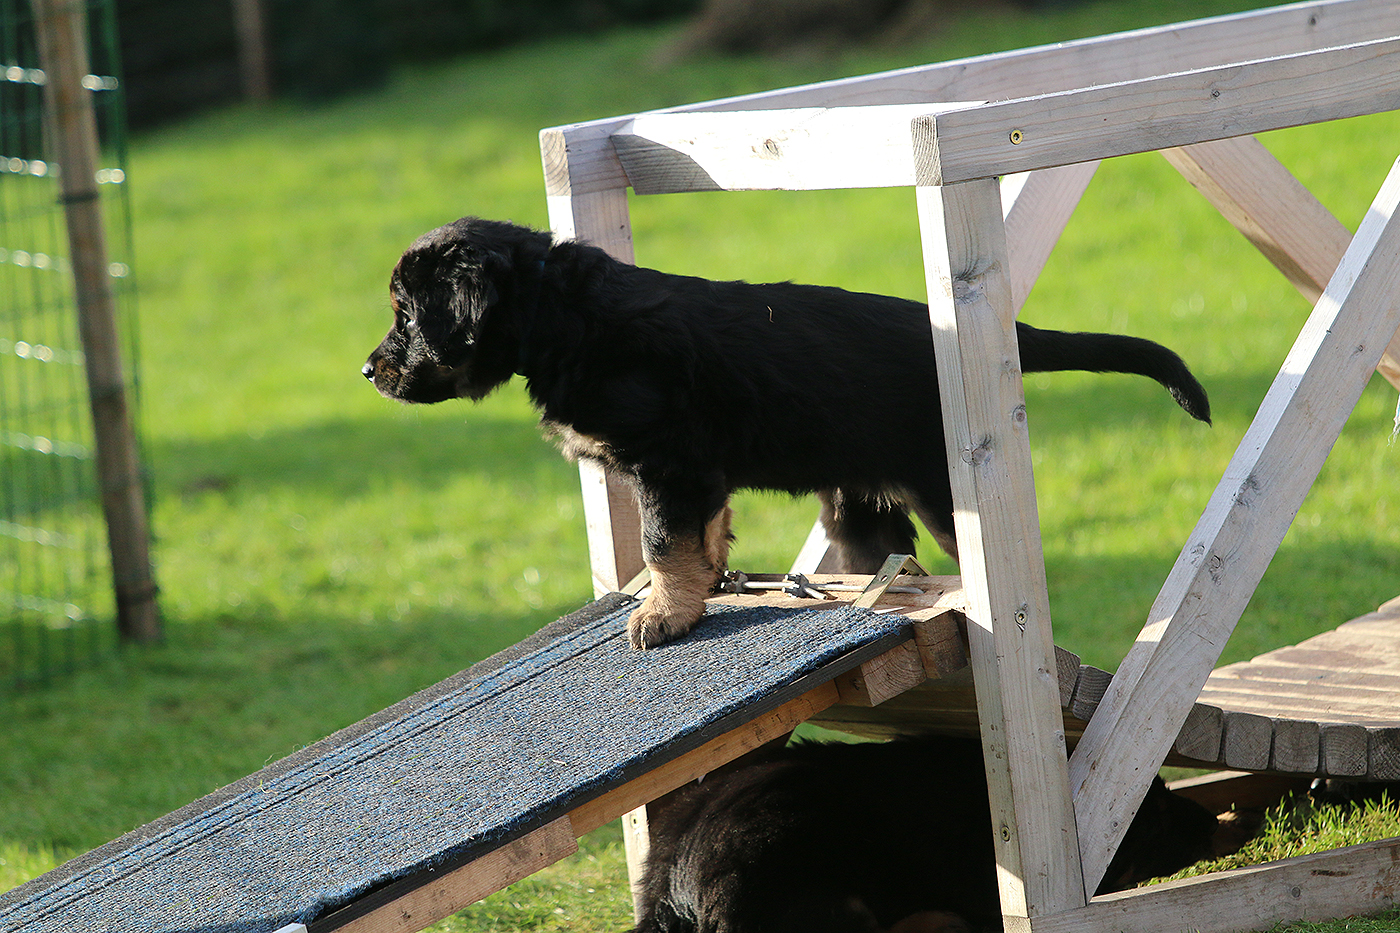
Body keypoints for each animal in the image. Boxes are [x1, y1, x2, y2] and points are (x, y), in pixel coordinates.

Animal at [363, 218, 1210, 649]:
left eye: (407, 313)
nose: (369, 371)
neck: (563, 315)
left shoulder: (665, 462)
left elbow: (664, 542)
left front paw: (663, 615)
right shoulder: (696, 472)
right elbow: (703, 535)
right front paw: (704, 590)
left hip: (942, 488)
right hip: (862, 513)